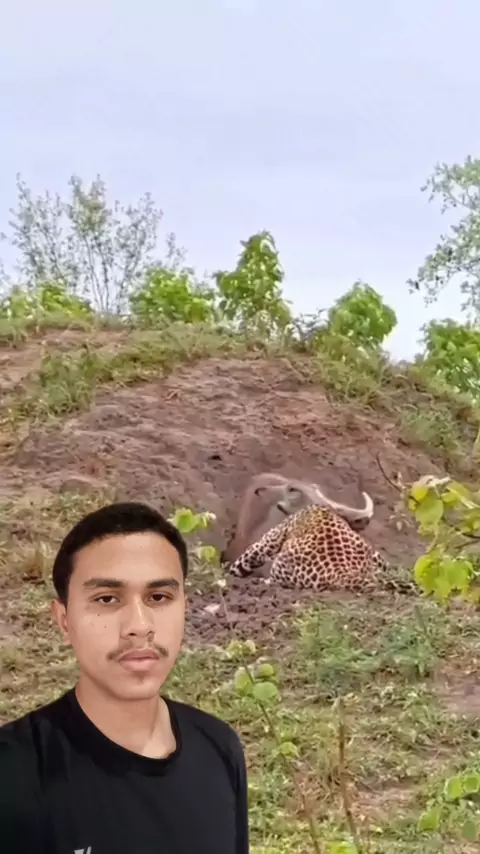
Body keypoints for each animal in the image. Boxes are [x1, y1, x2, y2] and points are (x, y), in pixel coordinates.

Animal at [227, 504, 417, 595]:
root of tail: (343, 572)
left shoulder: (269, 541)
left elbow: (242, 561)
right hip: (371, 555)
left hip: (280, 567)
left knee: (274, 580)